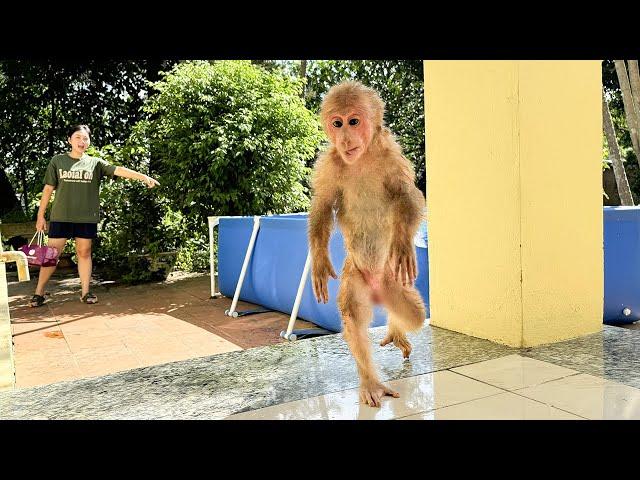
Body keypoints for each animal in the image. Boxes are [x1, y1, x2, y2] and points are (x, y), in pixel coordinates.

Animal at [308, 80, 428, 406]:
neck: (360, 159)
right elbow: (322, 205)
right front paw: (319, 260)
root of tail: (377, 289)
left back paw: (397, 330)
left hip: (391, 281)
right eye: (337, 123)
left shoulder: (393, 158)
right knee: (354, 316)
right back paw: (371, 382)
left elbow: (407, 196)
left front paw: (403, 242)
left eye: (354, 121)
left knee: (413, 315)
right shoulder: (328, 165)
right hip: (357, 275)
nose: (345, 137)